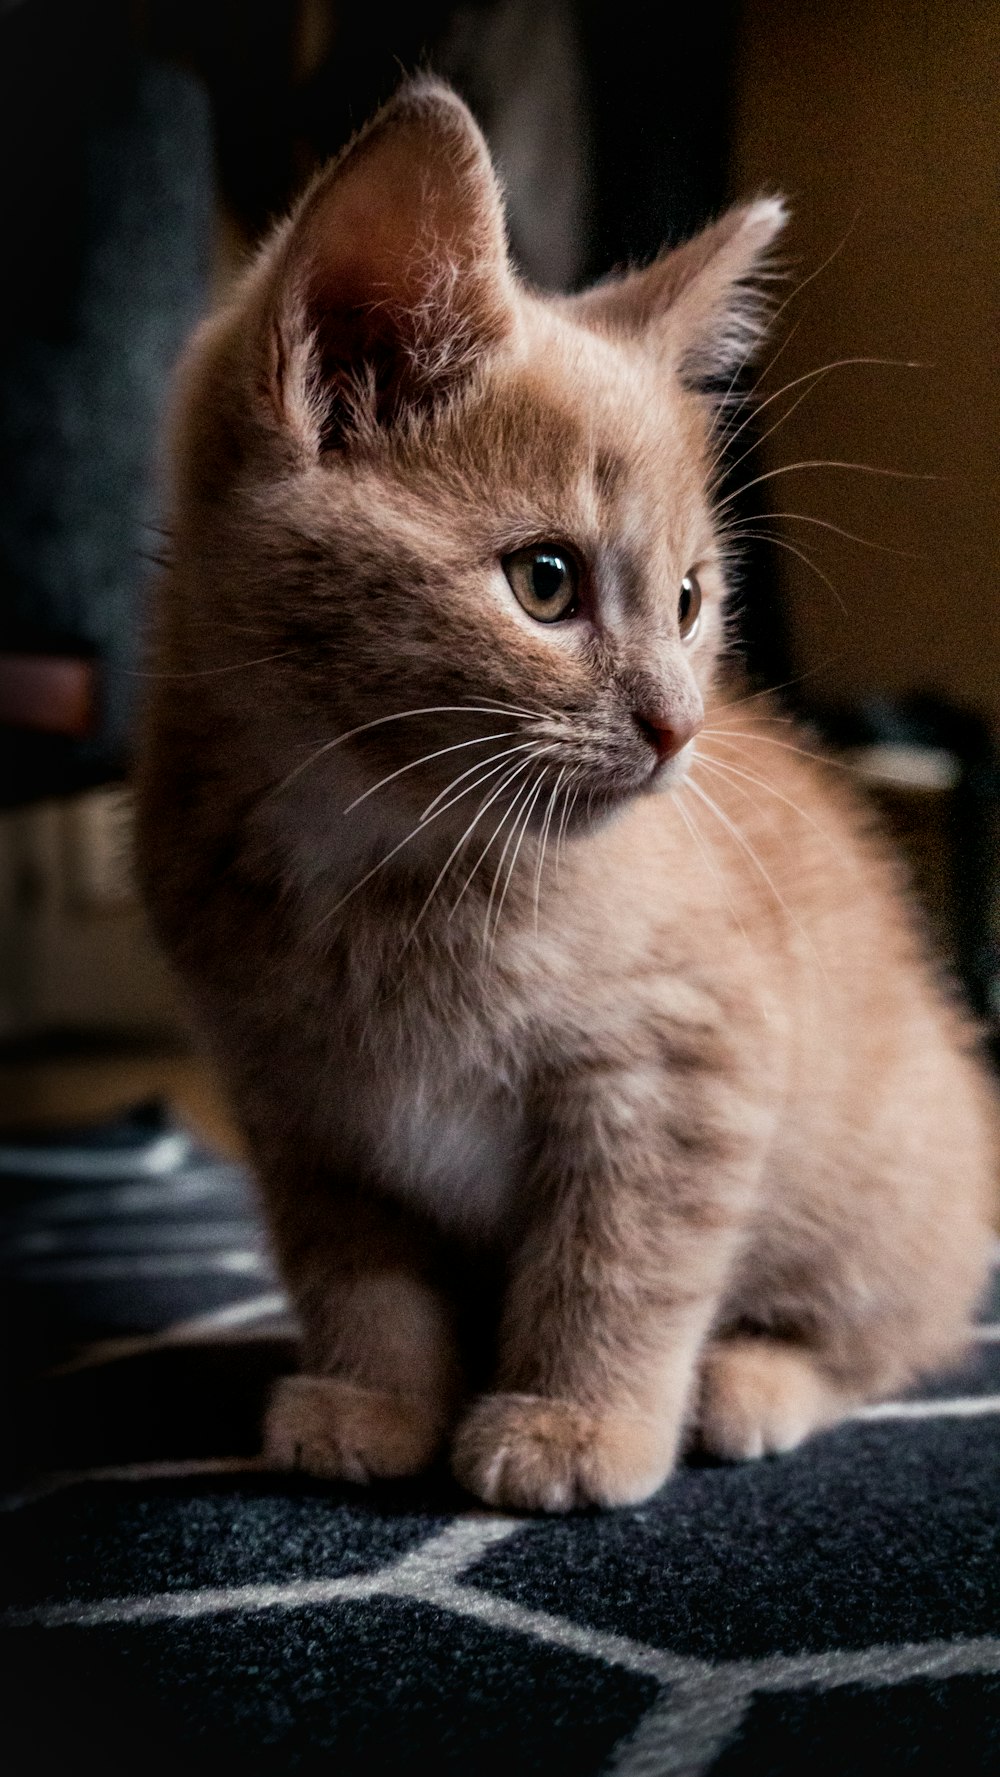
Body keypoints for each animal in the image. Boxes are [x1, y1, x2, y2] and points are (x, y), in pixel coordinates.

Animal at [136, 83, 994, 1514]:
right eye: (544, 582)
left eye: (692, 601)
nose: (679, 725)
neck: (377, 863)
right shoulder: (299, 1105)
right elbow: (354, 1270)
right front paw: (376, 1401)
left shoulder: (684, 1064)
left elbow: (620, 1262)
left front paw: (576, 1422)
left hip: (899, 1181)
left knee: (900, 1332)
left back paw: (756, 1382)